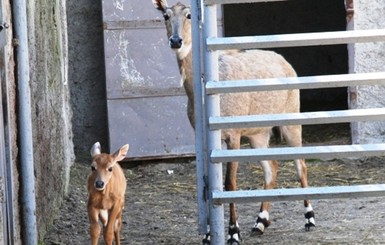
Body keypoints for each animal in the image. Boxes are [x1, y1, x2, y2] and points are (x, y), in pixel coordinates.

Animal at [153, 0, 316, 244]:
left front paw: (233, 233)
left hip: (290, 120)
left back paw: (309, 218)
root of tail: (285, 62)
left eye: (189, 15)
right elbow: (211, 185)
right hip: (258, 135)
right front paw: (208, 235)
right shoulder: (205, 140)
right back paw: (260, 222)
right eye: (165, 15)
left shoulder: (233, 135)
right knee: (272, 167)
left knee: (301, 165)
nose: (176, 40)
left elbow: (229, 183)